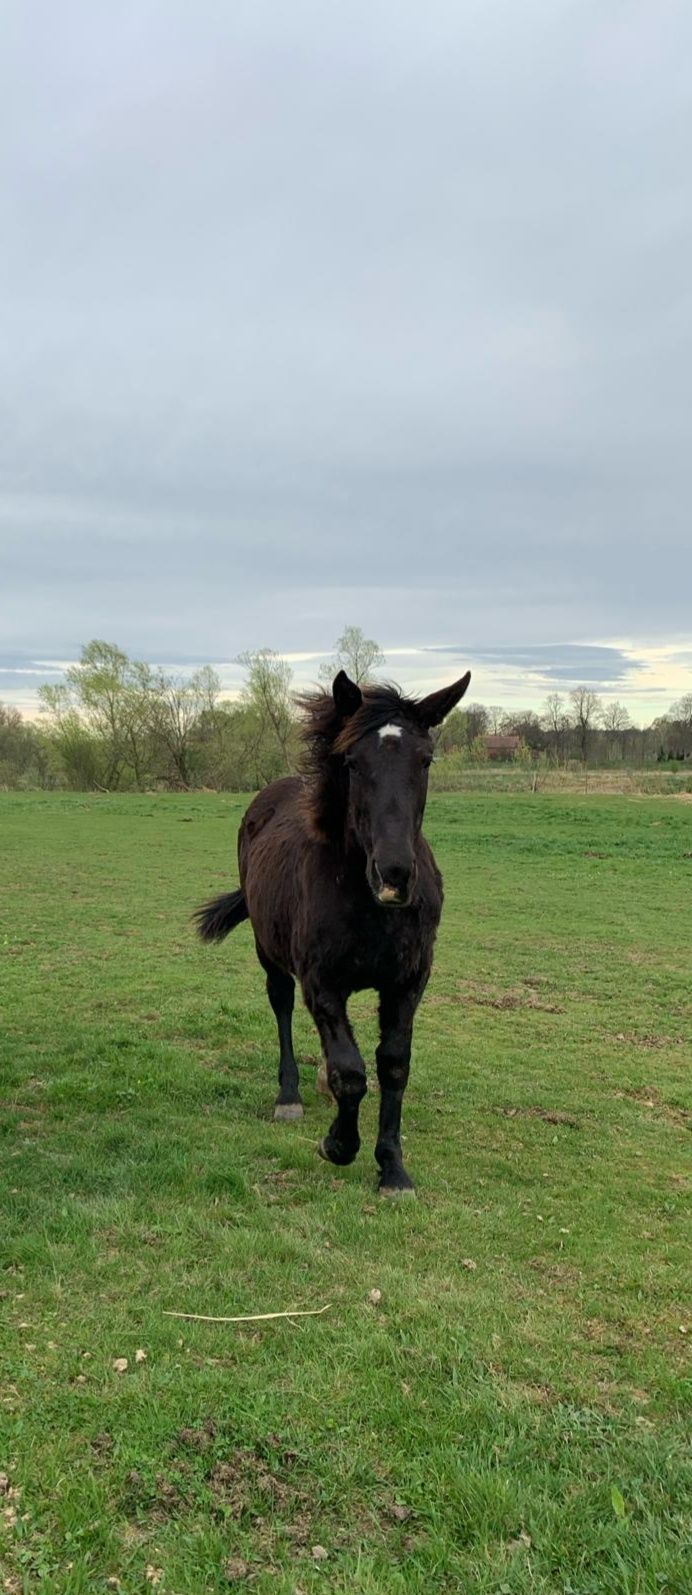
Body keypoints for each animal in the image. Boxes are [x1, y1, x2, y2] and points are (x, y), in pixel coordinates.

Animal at [197, 666, 471, 1193]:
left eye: (425, 760)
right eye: (352, 762)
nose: (394, 875)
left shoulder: (408, 982)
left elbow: (393, 1065)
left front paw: (393, 1169)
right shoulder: (322, 983)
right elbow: (351, 1071)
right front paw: (338, 1145)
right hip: (269, 952)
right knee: (282, 1006)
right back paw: (289, 1096)